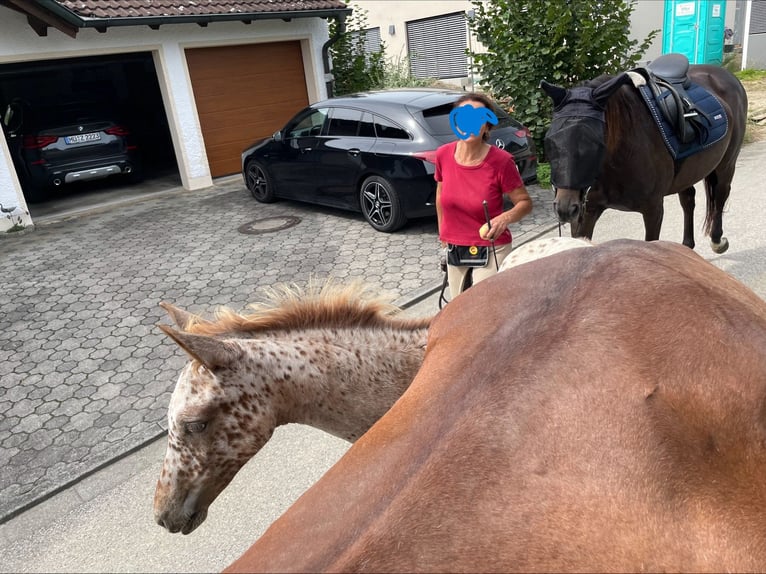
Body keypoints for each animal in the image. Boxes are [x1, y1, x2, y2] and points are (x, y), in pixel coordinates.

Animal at [540, 56, 752, 254]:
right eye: (549, 140)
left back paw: (717, 240)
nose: (565, 208)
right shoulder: (587, 213)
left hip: (726, 165)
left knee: (721, 194)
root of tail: (727, 76)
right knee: (688, 200)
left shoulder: (653, 210)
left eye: (594, 142)